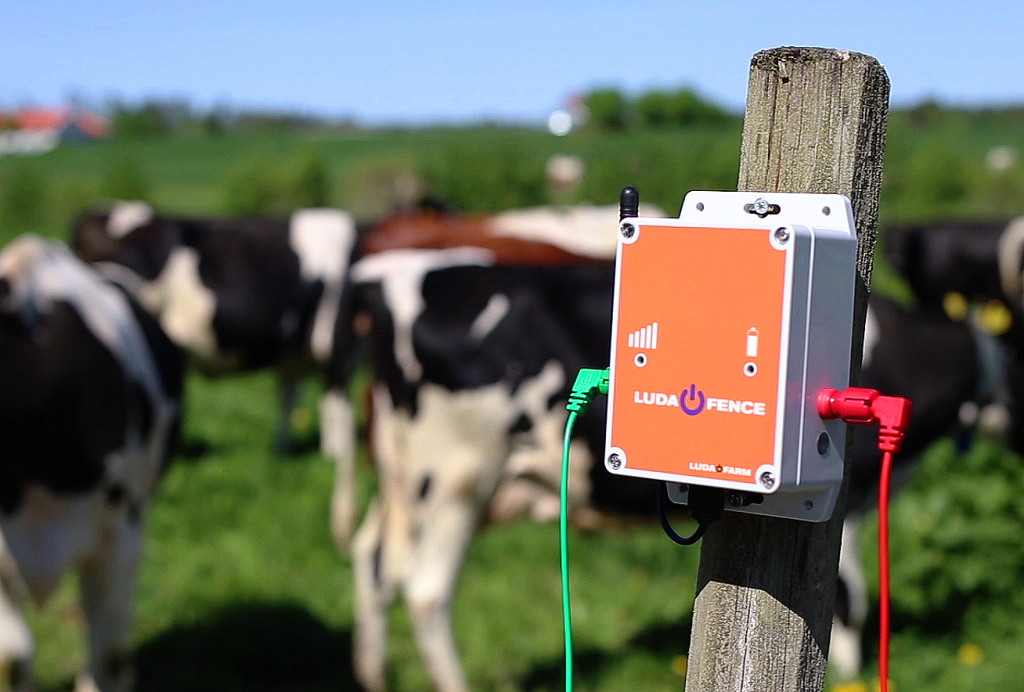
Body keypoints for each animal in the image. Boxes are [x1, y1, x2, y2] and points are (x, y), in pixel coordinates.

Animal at [342, 241, 999, 692]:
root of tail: (392, 281)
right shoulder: (854, 495)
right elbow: (850, 593)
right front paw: (848, 671)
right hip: (456, 476)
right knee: (426, 589)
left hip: (403, 479)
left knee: (373, 559)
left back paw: (373, 672)